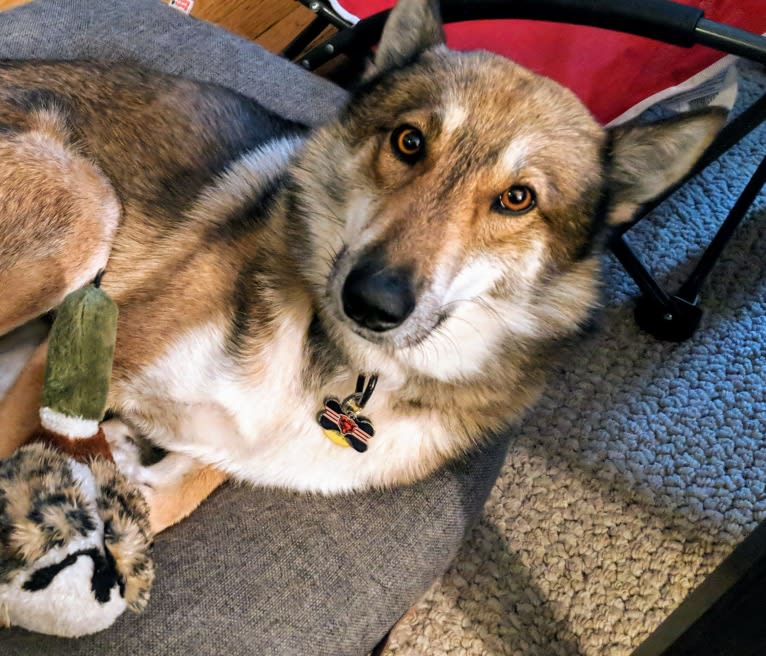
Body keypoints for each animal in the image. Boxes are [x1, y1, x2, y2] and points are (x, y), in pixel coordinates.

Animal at [0, 0, 728, 532]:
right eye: (408, 141)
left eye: (518, 199)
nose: (371, 301)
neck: (346, 367)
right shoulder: (74, 360)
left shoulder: (221, 452)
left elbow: (158, 505)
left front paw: (119, 459)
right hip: (87, 206)